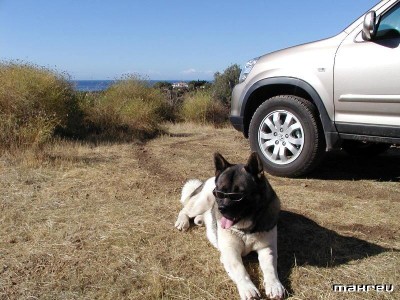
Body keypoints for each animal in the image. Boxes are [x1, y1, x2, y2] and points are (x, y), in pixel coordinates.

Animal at [175, 152, 284, 300]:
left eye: (238, 196)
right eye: (219, 193)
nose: (221, 209)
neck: (245, 228)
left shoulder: (267, 248)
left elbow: (270, 268)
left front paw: (274, 285)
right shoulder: (230, 252)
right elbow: (240, 268)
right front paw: (248, 288)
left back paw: (200, 220)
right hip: (203, 201)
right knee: (185, 210)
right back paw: (183, 221)